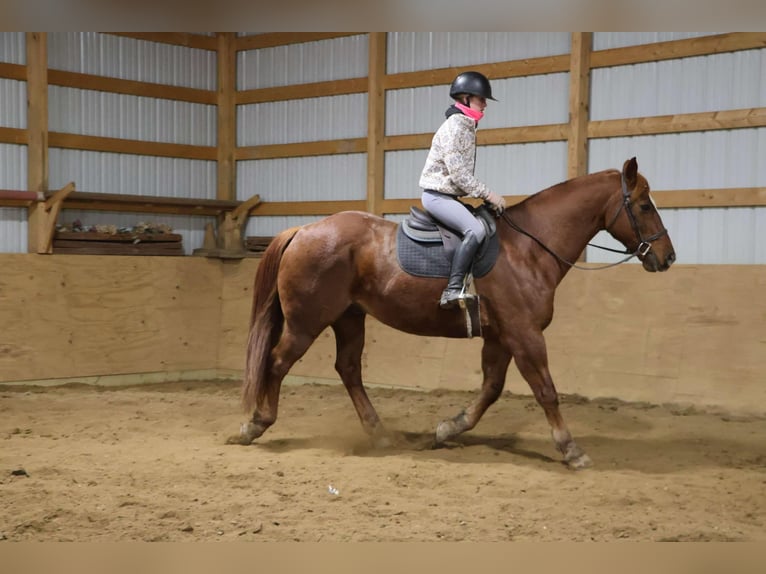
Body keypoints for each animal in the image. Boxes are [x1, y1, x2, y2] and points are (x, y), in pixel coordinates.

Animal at [226, 156, 680, 468]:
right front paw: (570, 449)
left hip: (349, 318)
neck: (528, 249)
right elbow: (546, 390)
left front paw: (448, 428)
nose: (668, 257)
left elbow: (491, 389)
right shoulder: (525, 334)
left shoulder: (501, 337)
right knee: (277, 362)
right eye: (644, 206)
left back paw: (379, 433)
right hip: (307, 322)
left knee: (348, 369)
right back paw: (255, 424)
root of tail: (303, 229)